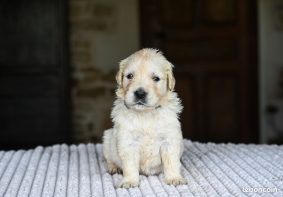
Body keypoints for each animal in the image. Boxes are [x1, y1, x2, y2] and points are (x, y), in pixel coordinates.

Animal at [103, 47, 187, 188]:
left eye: (156, 78)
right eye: (130, 76)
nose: (140, 93)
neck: (146, 114)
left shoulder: (169, 140)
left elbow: (171, 162)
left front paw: (174, 178)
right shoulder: (128, 141)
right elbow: (130, 165)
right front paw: (130, 181)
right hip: (107, 138)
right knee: (109, 158)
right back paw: (113, 168)